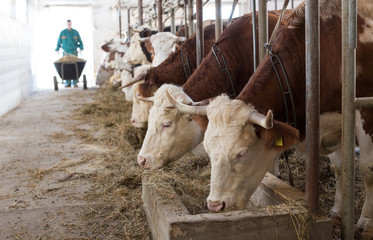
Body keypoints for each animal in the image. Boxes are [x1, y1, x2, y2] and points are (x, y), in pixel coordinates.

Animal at [169, 0, 372, 236]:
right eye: (209, 151)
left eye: (241, 154)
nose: (215, 205)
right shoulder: (333, 120)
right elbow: (341, 167)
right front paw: (338, 211)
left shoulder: (362, 110)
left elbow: (366, 168)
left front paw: (366, 222)